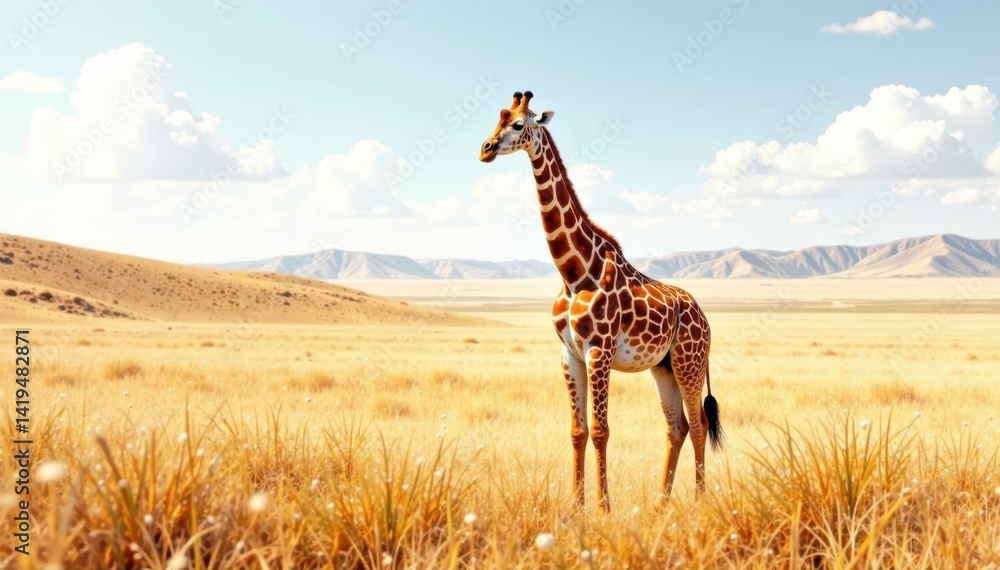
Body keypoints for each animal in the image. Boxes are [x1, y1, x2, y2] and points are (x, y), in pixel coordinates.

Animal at [478, 91, 723, 512]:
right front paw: (576, 507)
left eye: (518, 124)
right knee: (676, 426)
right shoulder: (569, 353)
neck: (574, 272)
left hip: (689, 362)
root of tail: (705, 318)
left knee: (699, 424)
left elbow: (601, 430)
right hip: (663, 367)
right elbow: (577, 431)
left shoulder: (599, 350)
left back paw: (699, 501)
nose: (486, 149)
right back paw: (660, 503)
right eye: (498, 118)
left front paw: (604, 508)